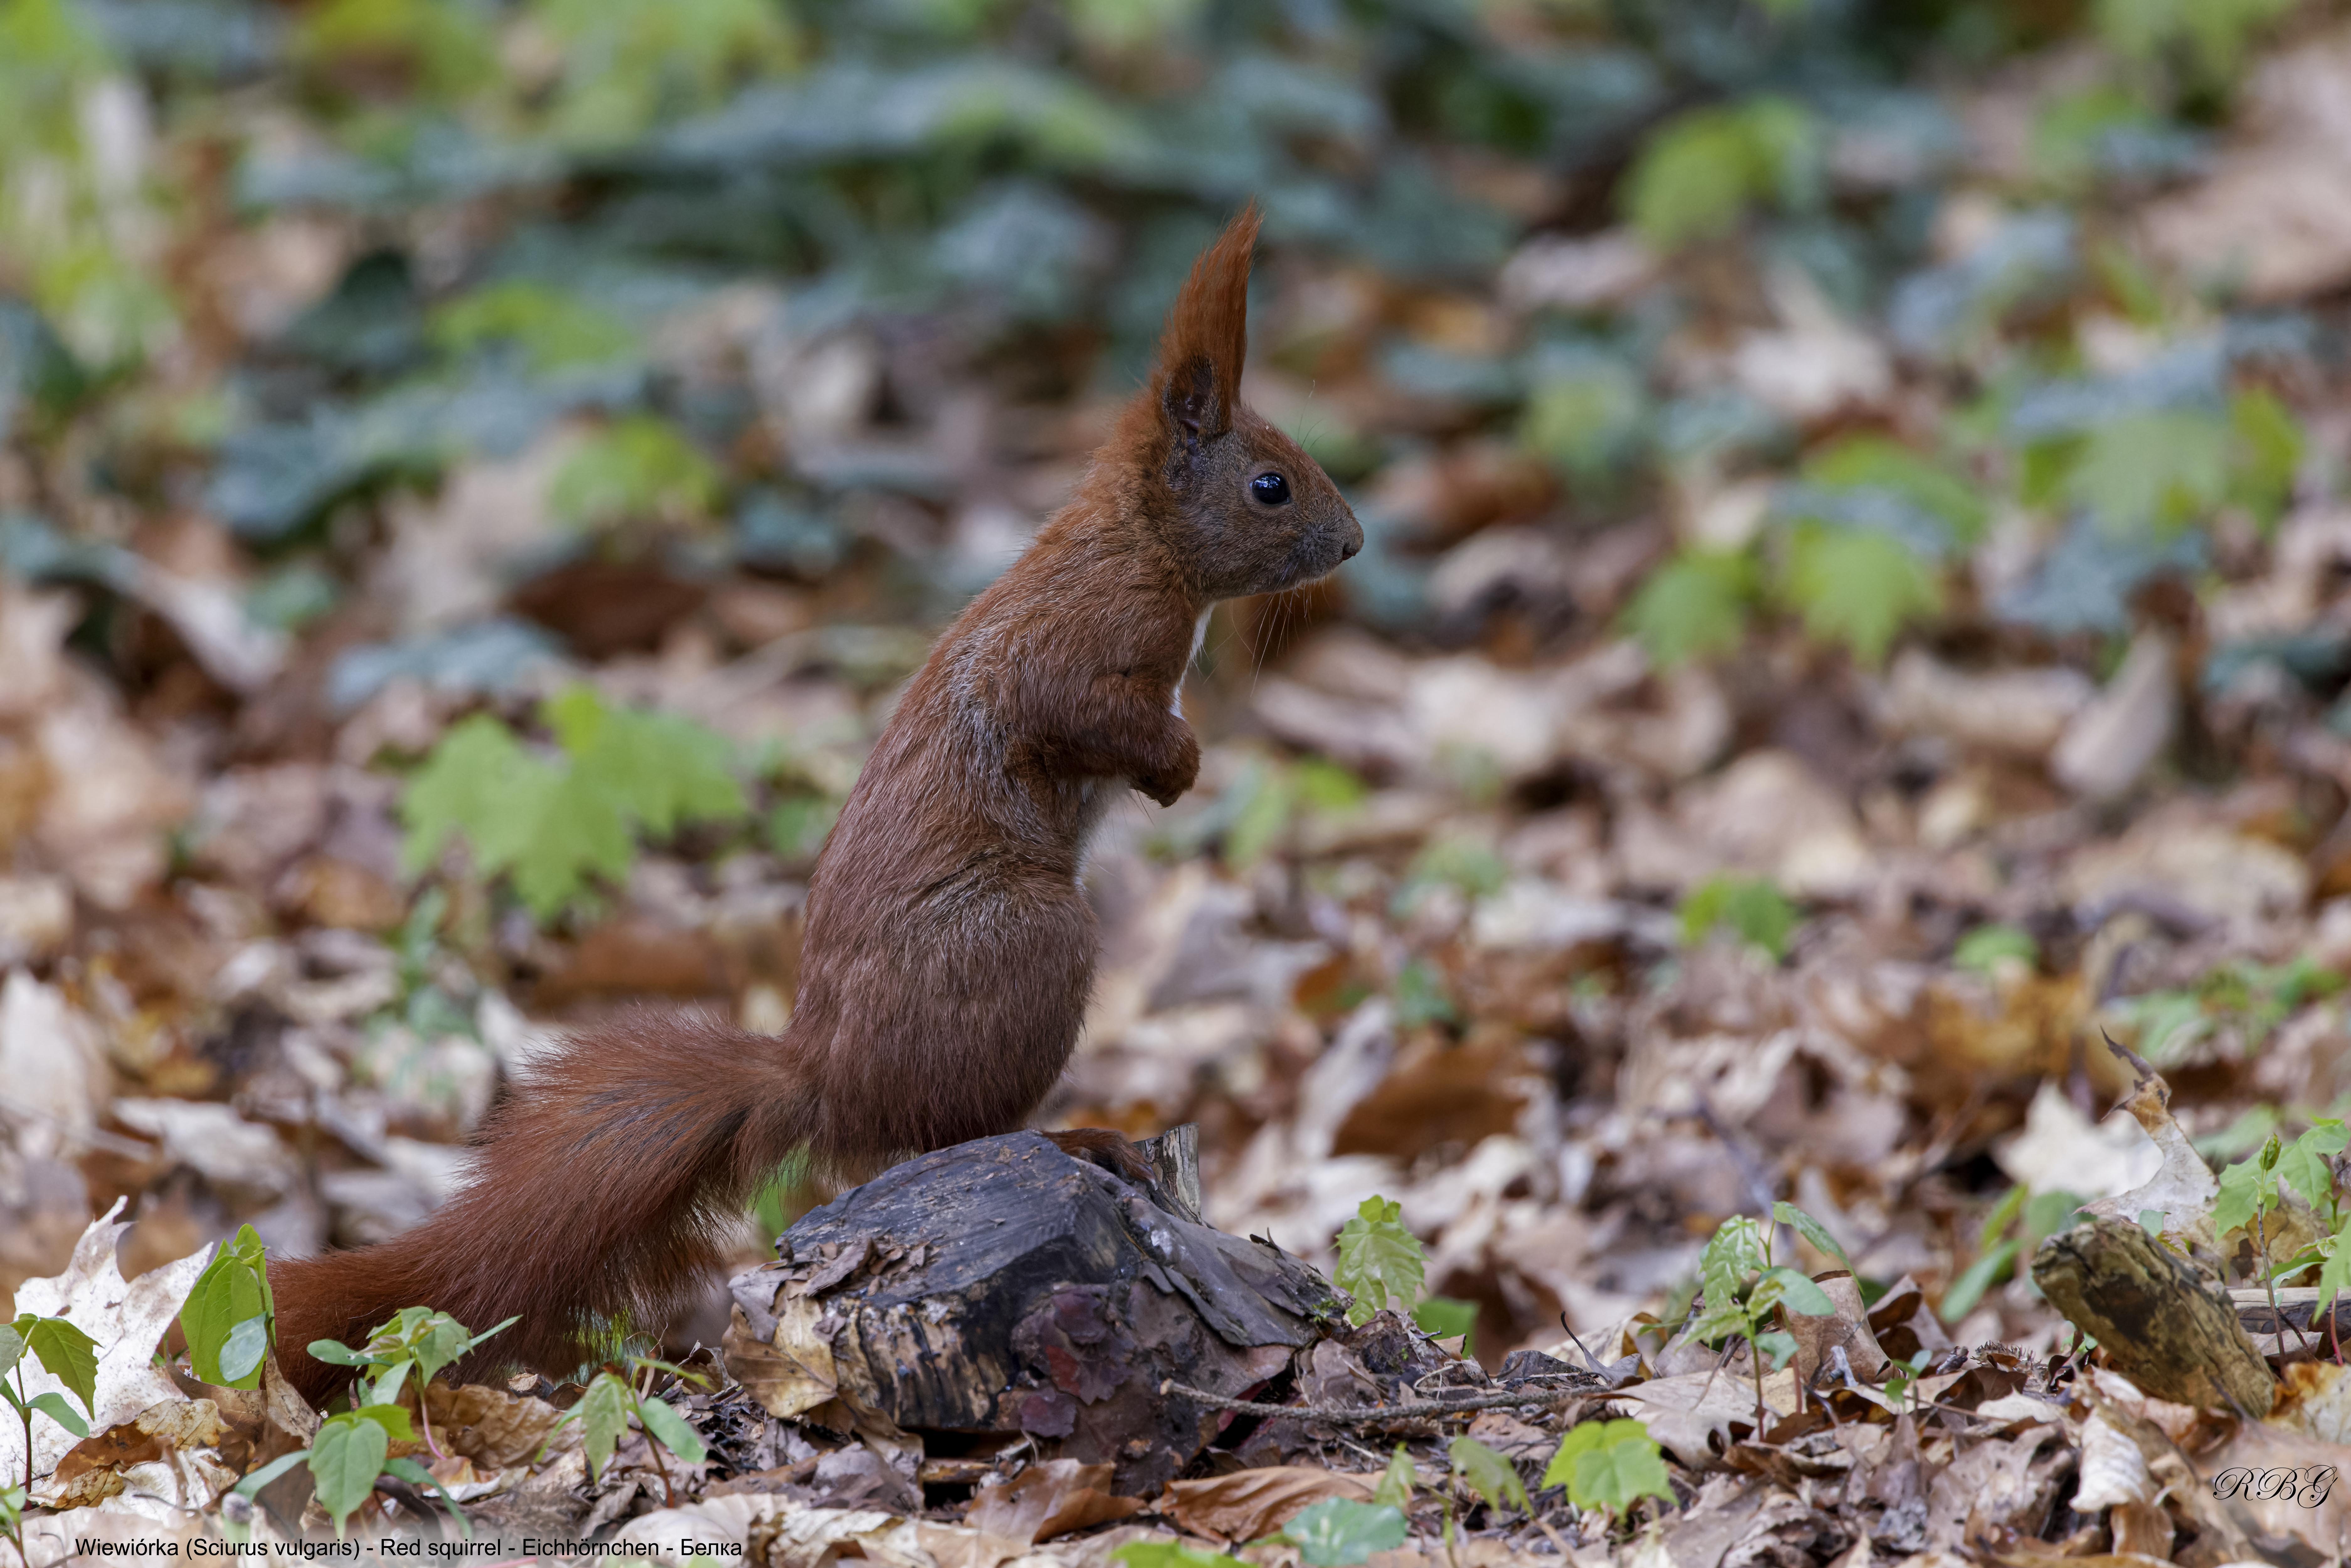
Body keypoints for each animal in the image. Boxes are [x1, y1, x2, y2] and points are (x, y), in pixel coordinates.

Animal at [268, 205, 1364, 1404]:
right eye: (1270, 485)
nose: (1356, 541)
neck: (1142, 537)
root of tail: (825, 1077)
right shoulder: (1078, 636)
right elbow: (1072, 707)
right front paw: (1175, 764)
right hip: (1028, 944)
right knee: (934, 1136)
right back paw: (1079, 1145)